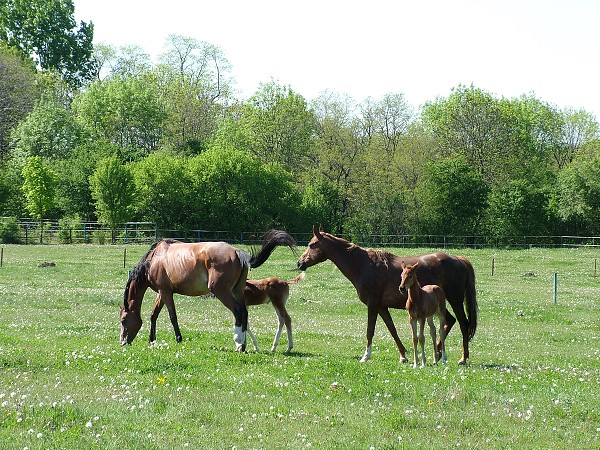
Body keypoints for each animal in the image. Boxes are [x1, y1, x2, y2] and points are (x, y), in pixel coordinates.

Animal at [122, 229, 298, 352]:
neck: (154, 259)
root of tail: (237, 252)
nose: (122, 341)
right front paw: (151, 339)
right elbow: (154, 315)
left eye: (124, 320)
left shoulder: (165, 292)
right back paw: (244, 344)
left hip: (222, 292)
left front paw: (178, 338)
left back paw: (238, 342)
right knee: (244, 314)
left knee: (238, 311)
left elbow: (173, 316)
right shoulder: (162, 292)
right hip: (237, 292)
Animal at [296, 227, 478, 364]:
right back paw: (438, 353)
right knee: (450, 321)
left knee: (463, 324)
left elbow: (370, 331)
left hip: (455, 300)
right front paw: (403, 355)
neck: (364, 265)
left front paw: (366, 356)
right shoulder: (382, 307)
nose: (299, 263)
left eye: (312, 244)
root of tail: (457, 259)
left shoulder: (373, 305)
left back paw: (462, 358)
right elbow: (392, 329)